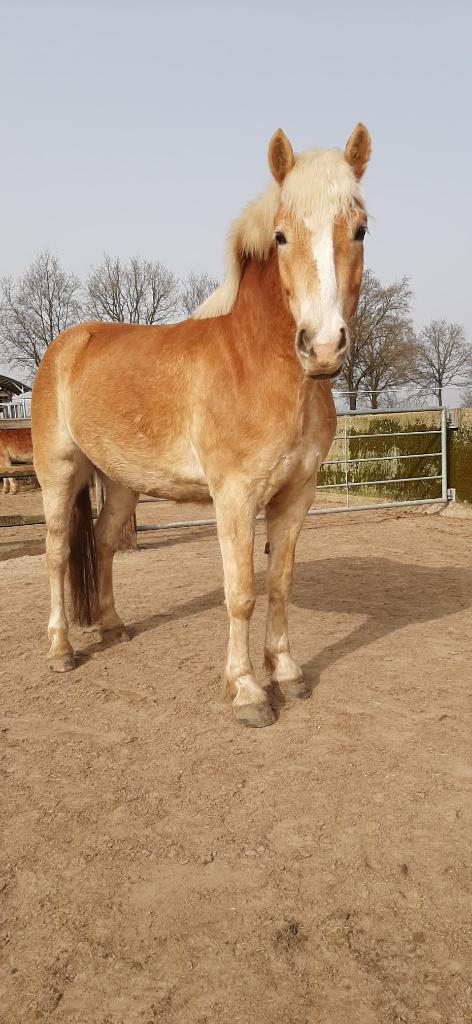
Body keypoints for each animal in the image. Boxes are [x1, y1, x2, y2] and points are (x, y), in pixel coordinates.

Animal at [32, 123, 371, 728]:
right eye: (281, 236)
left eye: (359, 229)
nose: (323, 346)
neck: (257, 363)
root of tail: (67, 344)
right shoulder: (233, 497)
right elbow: (241, 593)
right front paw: (248, 692)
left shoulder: (297, 495)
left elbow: (279, 584)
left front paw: (287, 673)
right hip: (60, 473)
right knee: (56, 555)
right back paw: (61, 650)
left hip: (121, 480)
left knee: (103, 542)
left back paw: (113, 627)